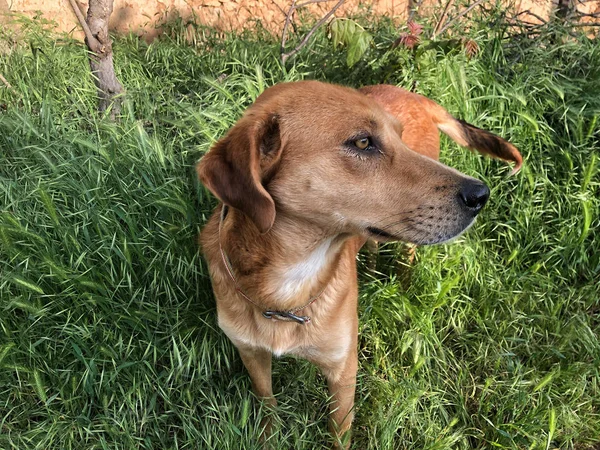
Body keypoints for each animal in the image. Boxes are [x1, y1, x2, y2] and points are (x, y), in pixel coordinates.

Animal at [196, 80, 520, 446]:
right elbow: (267, 403)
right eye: (363, 142)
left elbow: (340, 432)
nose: (481, 195)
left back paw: (403, 283)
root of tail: (414, 95)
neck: (286, 291)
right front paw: (269, 436)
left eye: (398, 136)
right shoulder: (251, 353)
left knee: (406, 255)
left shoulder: (343, 368)